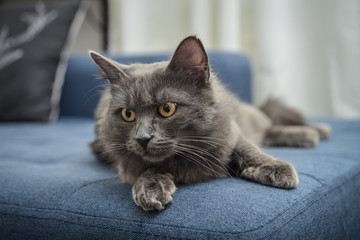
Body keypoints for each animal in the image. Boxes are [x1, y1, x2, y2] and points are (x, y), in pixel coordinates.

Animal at [89, 36, 330, 212]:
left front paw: (277, 167)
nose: (142, 138)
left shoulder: (230, 131)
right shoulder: (125, 162)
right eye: (128, 114)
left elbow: (247, 147)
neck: (186, 154)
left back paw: (315, 132)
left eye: (167, 108)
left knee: (269, 127)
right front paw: (151, 188)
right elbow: (145, 167)